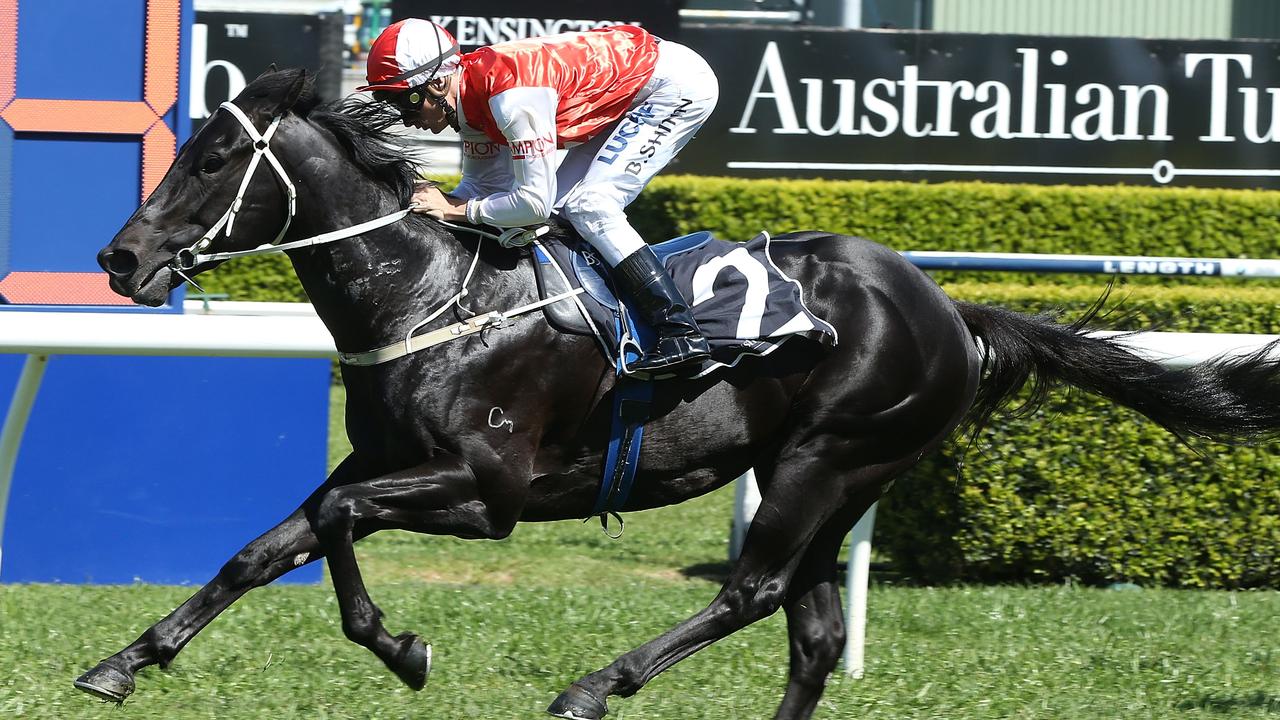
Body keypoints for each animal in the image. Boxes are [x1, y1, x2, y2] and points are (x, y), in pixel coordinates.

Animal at [82, 68, 1280, 717]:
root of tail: (950, 309)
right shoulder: (384, 458)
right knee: (809, 631)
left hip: (826, 460)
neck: (430, 294)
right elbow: (265, 548)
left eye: (208, 162)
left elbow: (331, 522)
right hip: (833, 479)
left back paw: (592, 685)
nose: (120, 260)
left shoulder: (485, 489)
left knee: (750, 593)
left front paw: (402, 649)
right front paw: (123, 662)